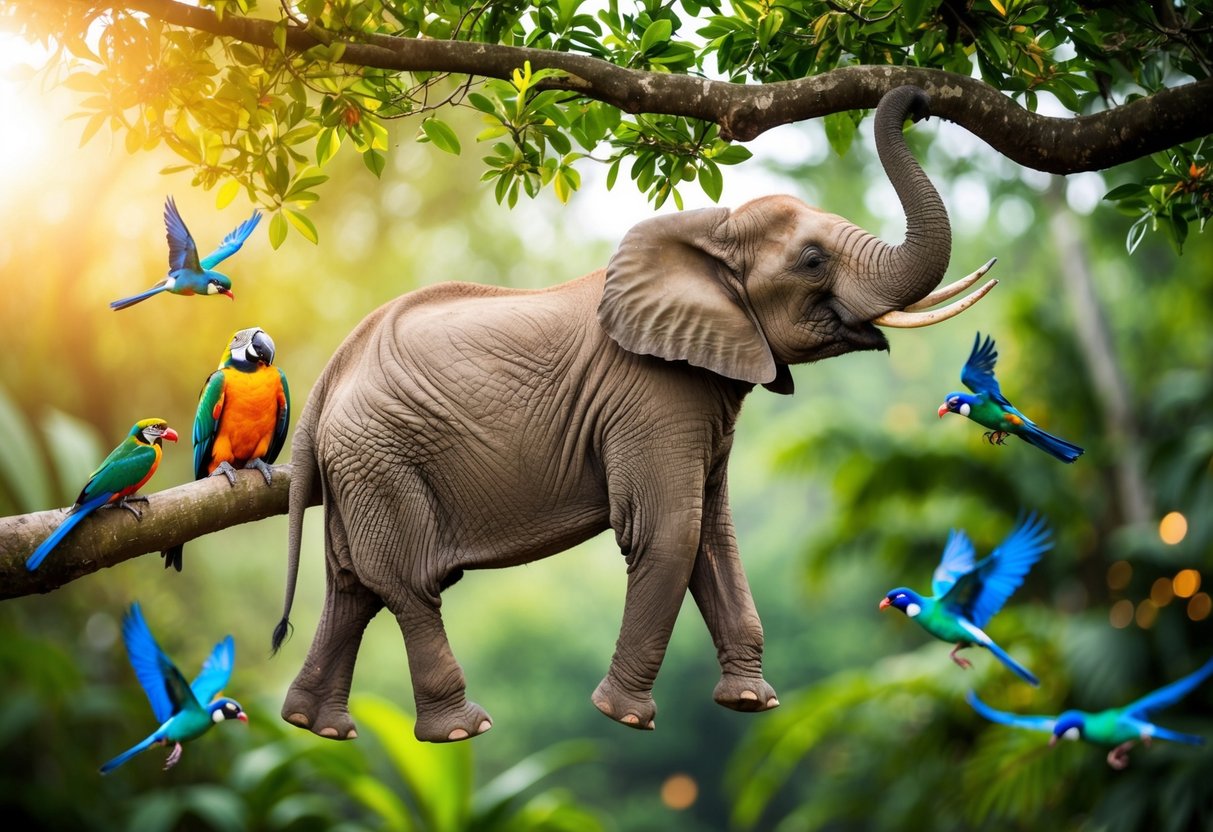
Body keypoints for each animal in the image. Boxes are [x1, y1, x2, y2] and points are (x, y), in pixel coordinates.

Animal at [271, 86, 995, 743]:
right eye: (812, 261)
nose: (919, 97)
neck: (710, 231)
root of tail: (327, 380)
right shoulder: (651, 392)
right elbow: (671, 530)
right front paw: (622, 717)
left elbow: (713, 533)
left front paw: (750, 704)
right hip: (380, 458)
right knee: (410, 582)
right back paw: (460, 731)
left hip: (359, 467)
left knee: (351, 587)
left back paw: (314, 725)